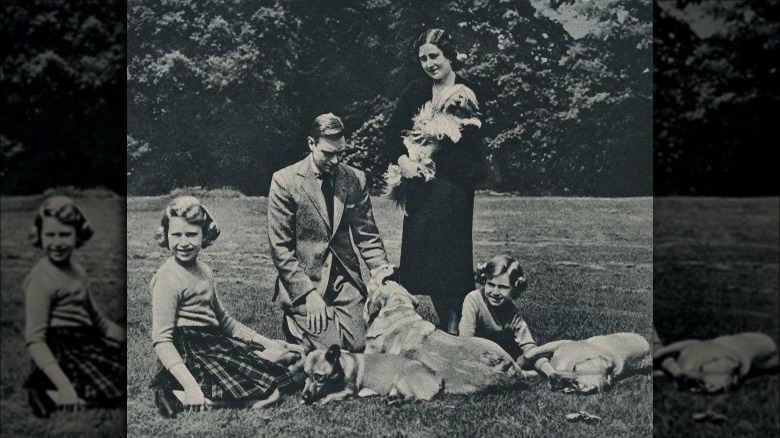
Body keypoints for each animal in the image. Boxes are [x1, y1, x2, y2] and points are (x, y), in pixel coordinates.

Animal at [300, 344, 442, 406]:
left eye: (319, 377)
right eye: (305, 374)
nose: (304, 396)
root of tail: (436, 377)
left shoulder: (349, 391)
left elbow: (331, 395)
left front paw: (320, 401)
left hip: (401, 379)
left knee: (412, 397)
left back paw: (395, 402)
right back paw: (390, 399)